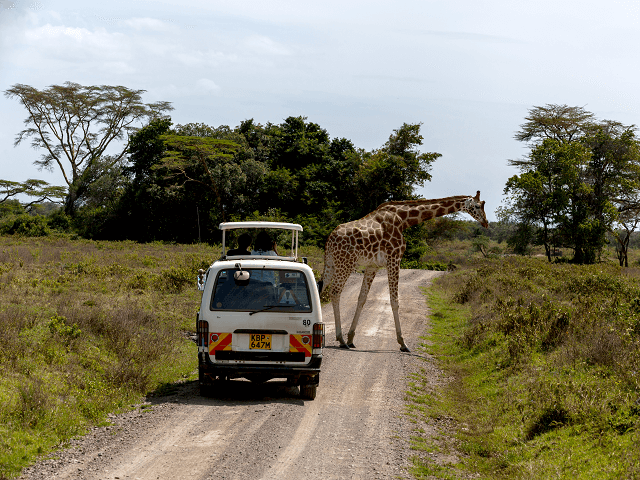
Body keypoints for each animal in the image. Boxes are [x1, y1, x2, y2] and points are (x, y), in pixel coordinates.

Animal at [318, 191, 488, 352]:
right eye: (478, 206)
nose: (486, 223)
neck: (403, 219)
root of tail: (330, 238)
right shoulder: (394, 259)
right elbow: (394, 301)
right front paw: (402, 343)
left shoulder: (372, 265)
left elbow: (362, 298)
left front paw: (351, 338)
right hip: (345, 263)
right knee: (335, 292)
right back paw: (339, 339)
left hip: (331, 263)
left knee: (320, 287)